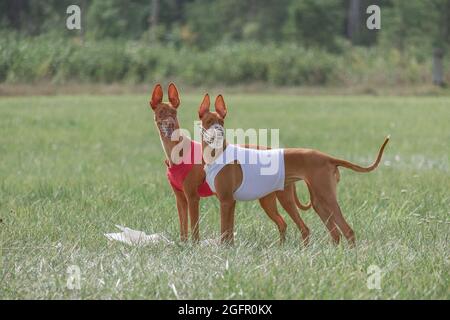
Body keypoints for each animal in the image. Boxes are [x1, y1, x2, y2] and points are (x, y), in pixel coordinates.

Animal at [199, 92, 388, 245]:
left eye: (221, 121)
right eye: (209, 121)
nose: (219, 132)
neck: (217, 153)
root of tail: (327, 157)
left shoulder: (226, 201)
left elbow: (225, 231)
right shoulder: (228, 202)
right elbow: (228, 231)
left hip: (324, 197)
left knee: (347, 231)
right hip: (313, 202)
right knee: (328, 232)